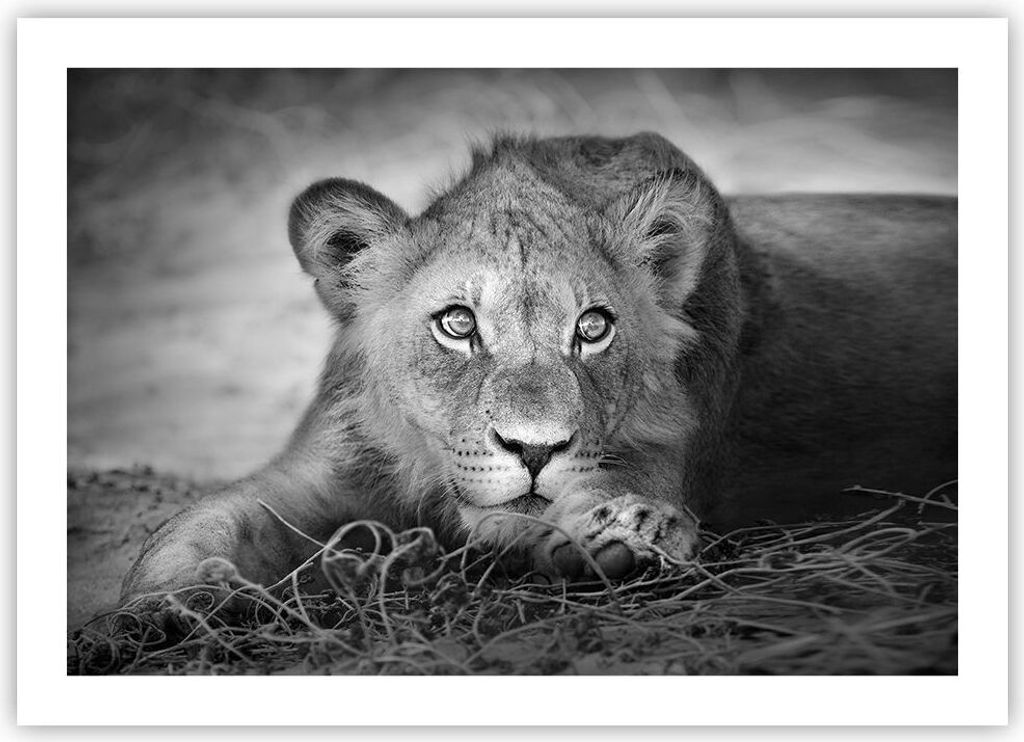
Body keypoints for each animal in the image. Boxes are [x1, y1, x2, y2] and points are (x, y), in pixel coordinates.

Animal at [120, 132, 956, 611]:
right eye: (458, 324)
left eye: (592, 328)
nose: (534, 450)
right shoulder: (318, 471)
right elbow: (202, 523)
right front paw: (166, 606)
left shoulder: (658, 457)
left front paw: (626, 534)